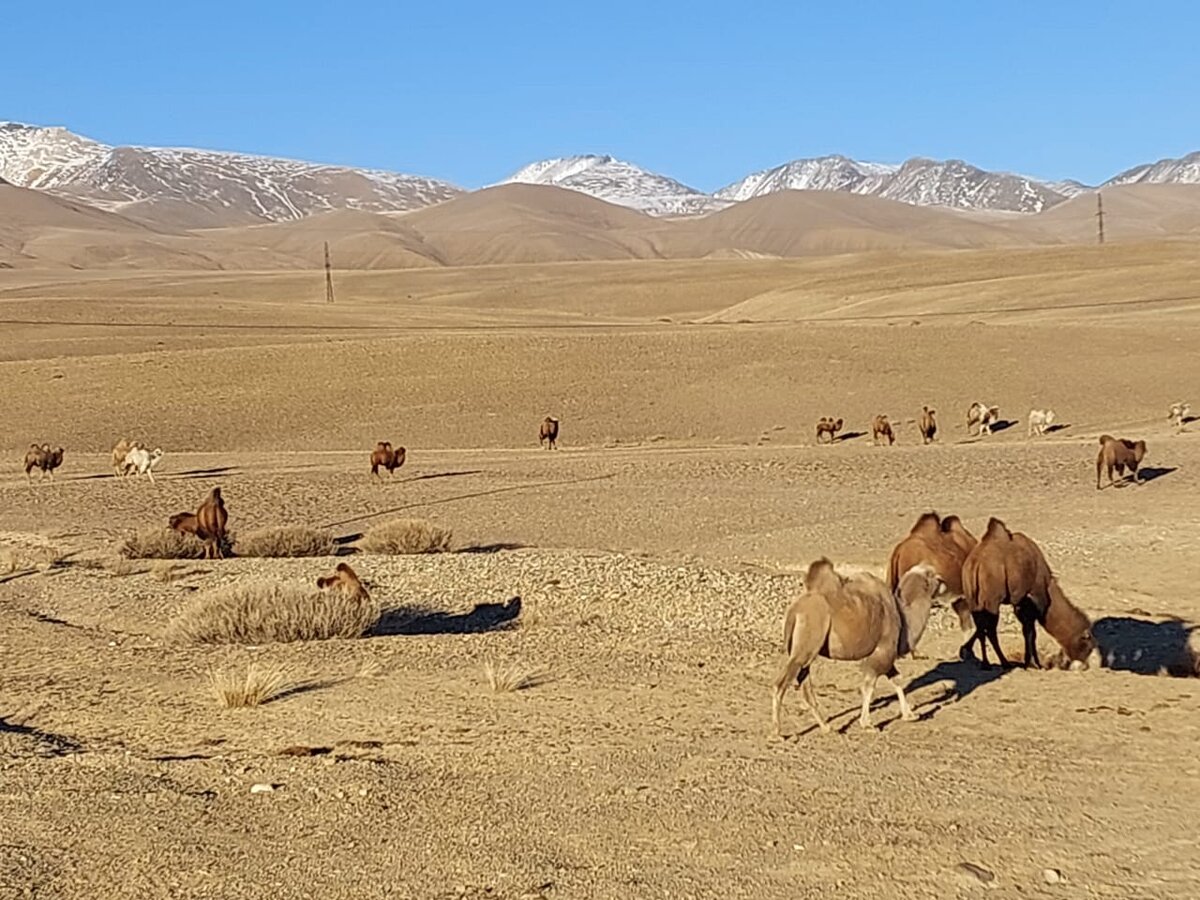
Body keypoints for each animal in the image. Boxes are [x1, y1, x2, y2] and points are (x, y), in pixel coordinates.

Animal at [768, 556, 945, 739]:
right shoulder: (884, 649)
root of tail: (795, 611)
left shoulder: (885, 653)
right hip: (807, 641)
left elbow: (897, 680)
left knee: (805, 682)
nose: (943, 581)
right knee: (780, 684)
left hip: (804, 649)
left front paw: (910, 715)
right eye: (931, 575)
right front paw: (867, 724)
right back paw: (777, 734)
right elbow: (869, 685)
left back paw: (826, 727)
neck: (903, 618)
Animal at [955, 518, 1099, 672]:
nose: (1086, 666)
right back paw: (1004, 663)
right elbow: (1031, 632)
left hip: (974, 598)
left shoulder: (1020, 602)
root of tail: (975, 564)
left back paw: (986, 663)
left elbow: (1026, 630)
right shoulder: (1032, 598)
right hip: (991, 599)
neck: (1048, 585)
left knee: (982, 627)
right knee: (990, 629)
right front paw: (1034, 664)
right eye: (1087, 642)